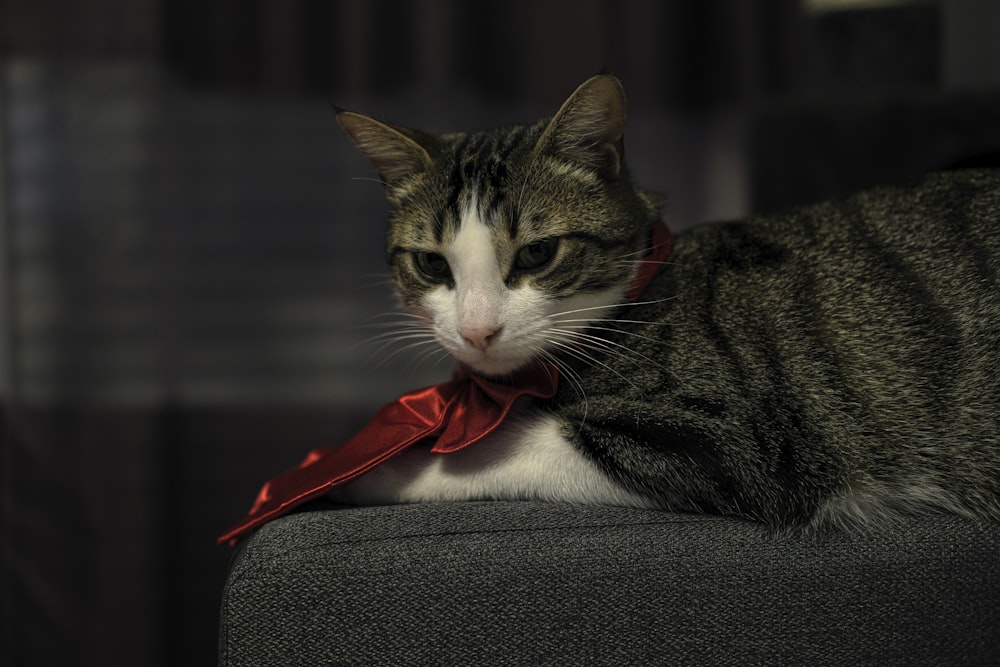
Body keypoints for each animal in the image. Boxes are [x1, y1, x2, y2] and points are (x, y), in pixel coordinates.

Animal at [330, 74, 1000, 532]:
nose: (476, 331)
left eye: (538, 254)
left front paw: (375, 466)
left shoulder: (737, 440)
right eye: (431, 263)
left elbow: (515, 443)